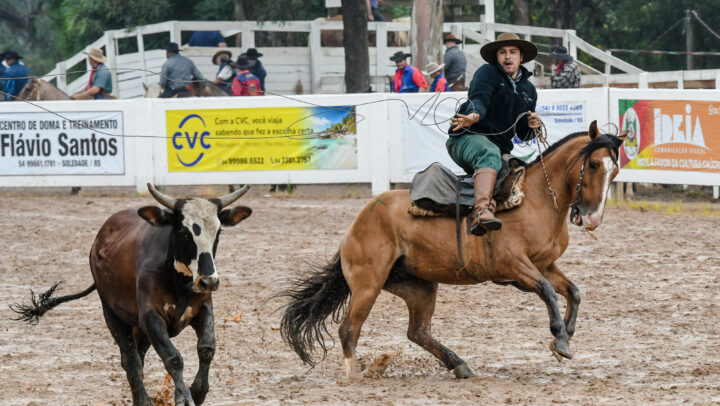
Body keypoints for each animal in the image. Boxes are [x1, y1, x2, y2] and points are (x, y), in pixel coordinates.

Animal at [278, 121, 628, 380]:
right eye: (593, 164)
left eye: (615, 170)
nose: (592, 218)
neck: (537, 198)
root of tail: (357, 223)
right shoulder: (515, 266)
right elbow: (548, 292)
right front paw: (560, 339)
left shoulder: (543, 264)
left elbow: (572, 291)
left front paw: (565, 333)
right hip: (368, 284)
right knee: (349, 329)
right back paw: (353, 377)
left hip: (418, 286)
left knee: (418, 332)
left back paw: (459, 364)